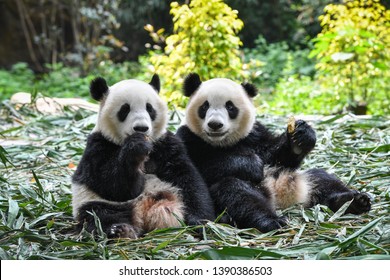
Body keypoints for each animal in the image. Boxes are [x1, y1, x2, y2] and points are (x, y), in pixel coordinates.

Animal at [71, 74, 215, 238]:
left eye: (149, 108)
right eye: (125, 109)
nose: (141, 128)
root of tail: (142, 210)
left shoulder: (166, 145)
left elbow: (188, 179)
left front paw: (199, 221)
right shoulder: (98, 146)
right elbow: (113, 185)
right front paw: (136, 148)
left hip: (170, 195)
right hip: (95, 202)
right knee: (99, 215)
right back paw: (120, 230)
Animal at [177, 73, 372, 233]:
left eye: (230, 107)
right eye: (204, 107)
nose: (215, 125)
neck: (222, 143)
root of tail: (280, 197)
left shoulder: (254, 134)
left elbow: (275, 156)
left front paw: (301, 136)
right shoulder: (189, 138)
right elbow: (202, 168)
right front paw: (251, 165)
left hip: (296, 178)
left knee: (322, 179)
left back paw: (354, 201)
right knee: (238, 194)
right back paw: (271, 221)